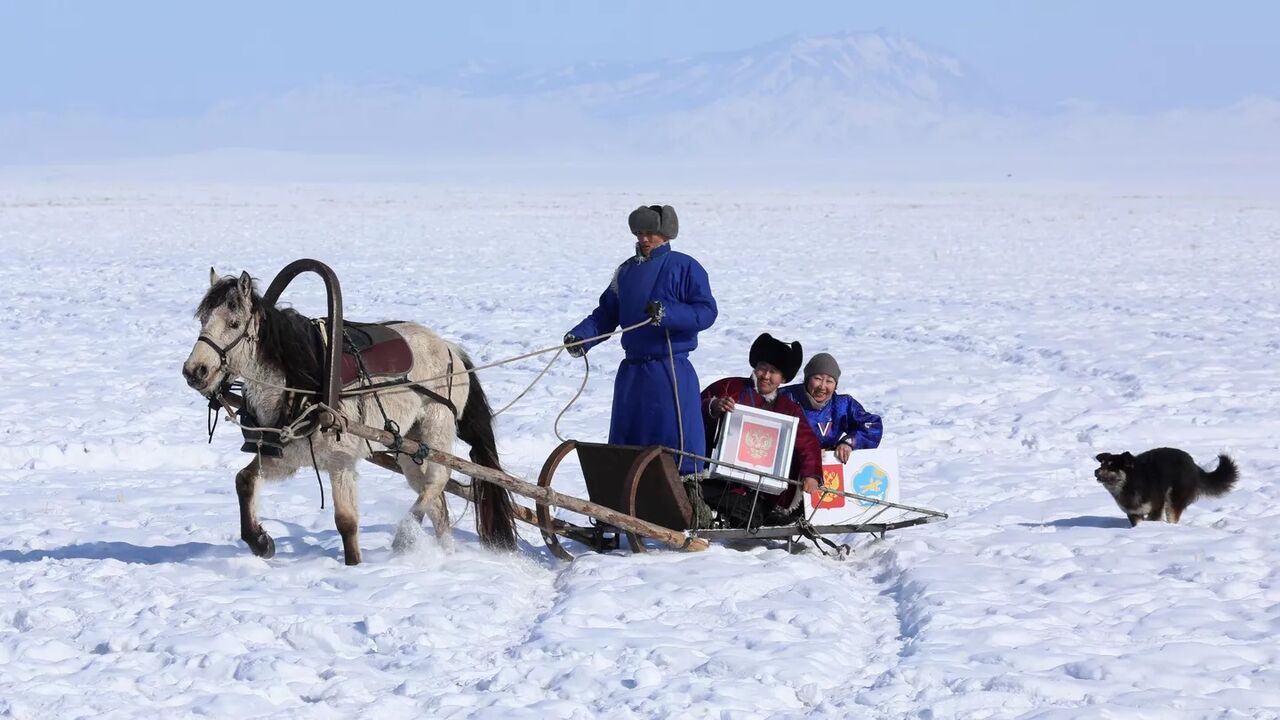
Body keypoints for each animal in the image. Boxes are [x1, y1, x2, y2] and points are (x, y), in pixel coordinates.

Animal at [181, 271, 519, 563]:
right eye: (203, 319)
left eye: (234, 323)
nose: (194, 370)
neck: (304, 383)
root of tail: (450, 348)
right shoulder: (287, 456)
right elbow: (244, 480)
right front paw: (260, 541)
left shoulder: (340, 461)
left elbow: (346, 522)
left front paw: (354, 566)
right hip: (409, 444)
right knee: (435, 500)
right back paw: (445, 552)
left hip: (438, 426)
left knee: (439, 480)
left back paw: (405, 536)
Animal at [1095, 445, 1233, 525]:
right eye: (1102, 464)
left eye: (1111, 467)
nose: (1095, 471)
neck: (1132, 482)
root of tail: (1193, 465)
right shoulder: (1133, 513)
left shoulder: (1156, 508)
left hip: (1173, 499)